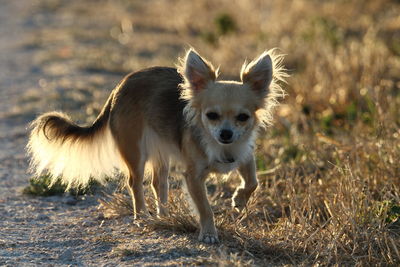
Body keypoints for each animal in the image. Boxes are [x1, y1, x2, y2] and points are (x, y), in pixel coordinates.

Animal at [27, 48, 284, 245]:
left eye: (243, 117)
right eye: (211, 115)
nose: (226, 133)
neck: (221, 147)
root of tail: (119, 87)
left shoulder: (244, 156)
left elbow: (253, 182)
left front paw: (239, 200)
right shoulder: (193, 176)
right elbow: (205, 207)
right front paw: (209, 233)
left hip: (162, 151)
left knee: (158, 182)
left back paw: (165, 215)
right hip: (135, 150)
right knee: (135, 182)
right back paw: (142, 215)